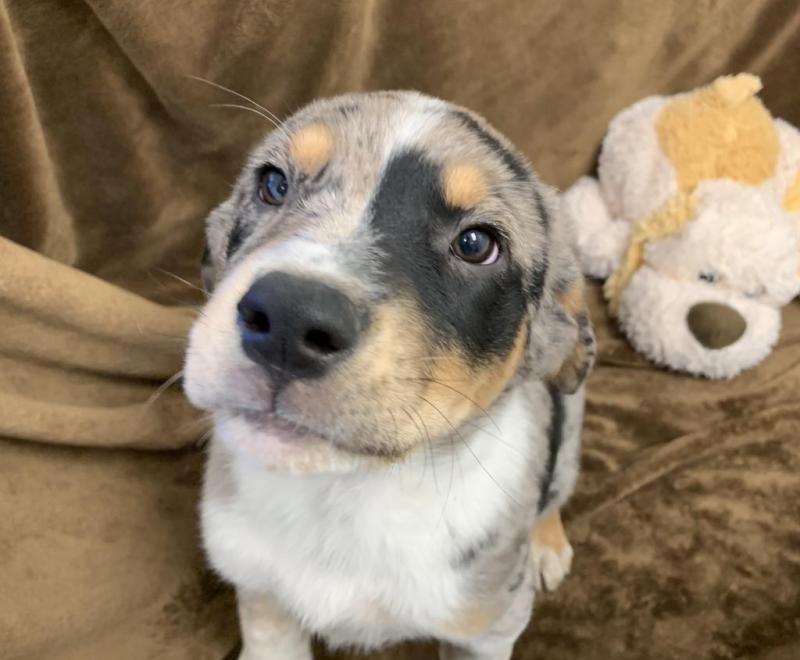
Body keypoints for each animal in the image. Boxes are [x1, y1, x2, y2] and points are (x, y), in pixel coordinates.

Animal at [183, 91, 592, 660]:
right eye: (273, 184)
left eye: (475, 243)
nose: (288, 318)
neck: (346, 493)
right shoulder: (259, 592)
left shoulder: (485, 630)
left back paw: (545, 545)